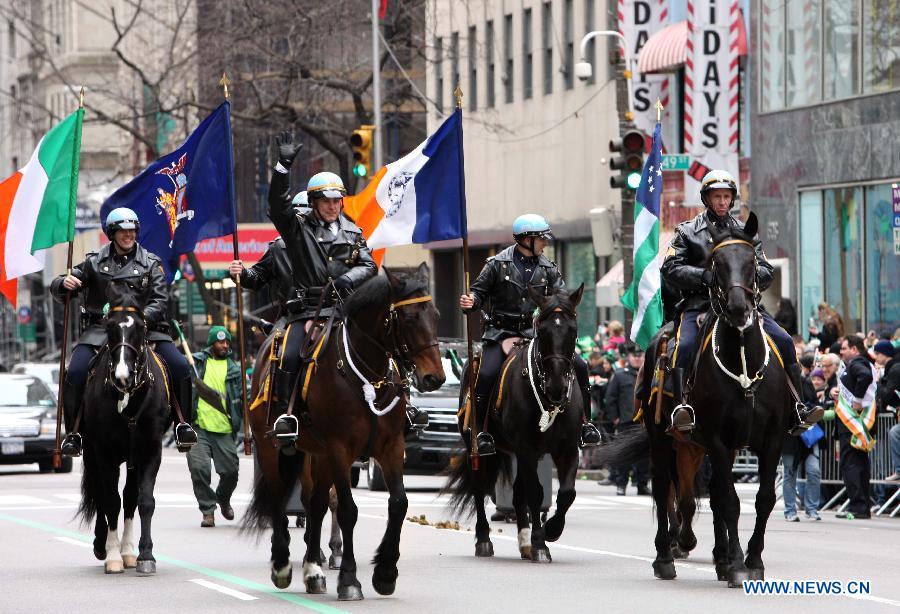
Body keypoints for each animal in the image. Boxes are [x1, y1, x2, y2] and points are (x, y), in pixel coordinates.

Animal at [77, 282, 172, 576]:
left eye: (140, 327)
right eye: (109, 326)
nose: (122, 376)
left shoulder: (150, 451)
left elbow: (144, 500)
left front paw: (144, 555)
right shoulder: (103, 453)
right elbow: (110, 501)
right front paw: (112, 556)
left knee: (130, 497)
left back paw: (129, 551)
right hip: (90, 452)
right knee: (101, 493)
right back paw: (102, 545)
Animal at [244, 264, 444, 600]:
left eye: (436, 314)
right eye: (408, 318)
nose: (435, 378)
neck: (367, 376)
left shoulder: (391, 447)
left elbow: (398, 504)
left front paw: (385, 571)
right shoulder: (340, 449)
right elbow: (349, 510)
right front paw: (350, 580)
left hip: (317, 455)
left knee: (316, 504)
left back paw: (313, 570)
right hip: (271, 447)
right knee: (279, 499)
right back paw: (282, 565)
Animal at [446, 284, 588, 564]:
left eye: (573, 330)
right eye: (542, 330)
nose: (557, 386)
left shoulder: (566, 450)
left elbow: (566, 493)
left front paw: (551, 530)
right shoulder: (527, 449)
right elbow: (536, 493)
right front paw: (541, 544)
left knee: (517, 492)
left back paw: (524, 543)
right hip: (479, 448)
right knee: (480, 488)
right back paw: (484, 540)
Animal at [600, 214, 792, 588]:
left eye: (752, 262)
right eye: (716, 263)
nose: (738, 309)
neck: (742, 364)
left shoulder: (770, 439)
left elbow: (762, 499)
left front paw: (752, 561)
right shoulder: (717, 438)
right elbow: (730, 502)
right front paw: (737, 565)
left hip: (697, 446)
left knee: (703, 494)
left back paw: (716, 556)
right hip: (664, 438)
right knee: (665, 490)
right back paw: (666, 557)